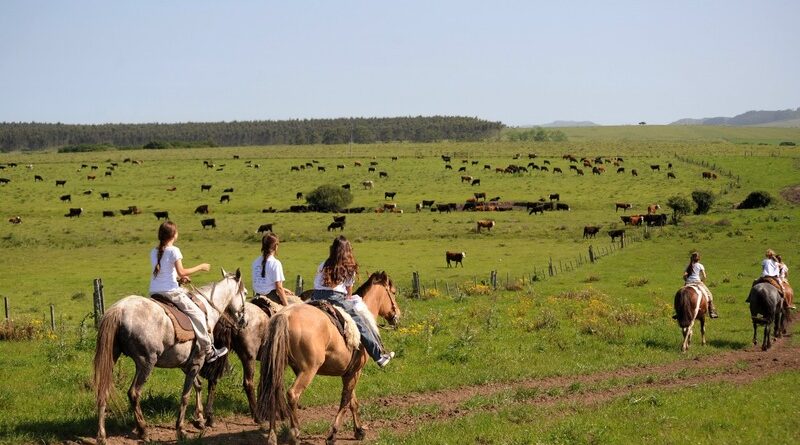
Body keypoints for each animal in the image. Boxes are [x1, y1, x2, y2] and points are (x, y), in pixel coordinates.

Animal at [92, 268, 247, 442]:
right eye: (245, 293)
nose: (244, 322)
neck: (207, 309)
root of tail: (118, 310)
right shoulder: (197, 362)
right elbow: (185, 395)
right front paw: (181, 429)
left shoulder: (186, 364)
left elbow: (198, 386)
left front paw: (199, 419)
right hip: (146, 363)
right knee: (134, 393)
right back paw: (143, 430)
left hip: (111, 358)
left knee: (103, 391)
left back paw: (102, 435)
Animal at [256, 270, 400, 444]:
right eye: (393, 293)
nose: (397, 315)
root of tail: (285, 315)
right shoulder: (355, 372)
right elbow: (345, 400)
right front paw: (333, 435)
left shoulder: (349, 373)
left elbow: (352, 401)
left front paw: (358, 431)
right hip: (308, 370)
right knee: (292, 394)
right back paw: (295, 433)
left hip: (278, 365)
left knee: (273, 393)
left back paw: (272, 436)